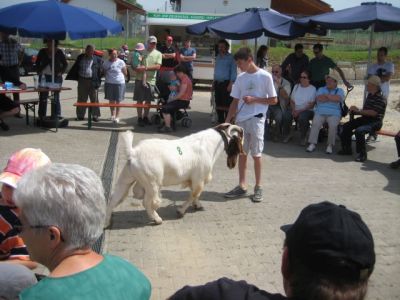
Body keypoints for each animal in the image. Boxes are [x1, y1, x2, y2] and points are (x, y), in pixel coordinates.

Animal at [105, 123, 244, 225]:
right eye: (238, 144)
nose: (231, 165)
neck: (209, 144)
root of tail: (133, 152)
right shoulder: (199, 178)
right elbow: (194, 193)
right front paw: (180, 211)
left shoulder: (193, 179)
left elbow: (196, 194)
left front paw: (198, 205)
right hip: (152, 182)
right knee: (147, 202)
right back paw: (157, 219)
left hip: (126, 178)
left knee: (114, 198)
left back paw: (106, 223)